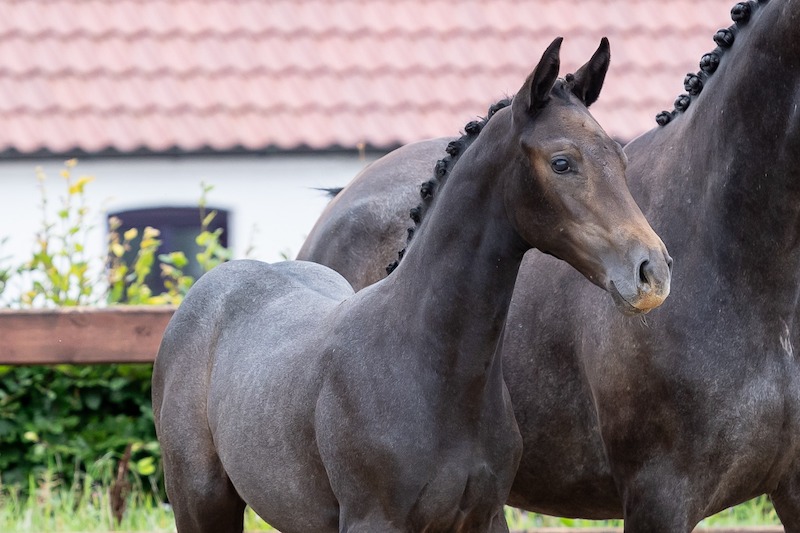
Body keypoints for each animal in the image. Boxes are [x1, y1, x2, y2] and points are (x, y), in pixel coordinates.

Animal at [153, 38, 672, 532]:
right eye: (562, 162)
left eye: (620, 159)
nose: (652, 271)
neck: (429, 366)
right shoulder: (373, 521)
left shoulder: (484, 516)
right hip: (201, 503)